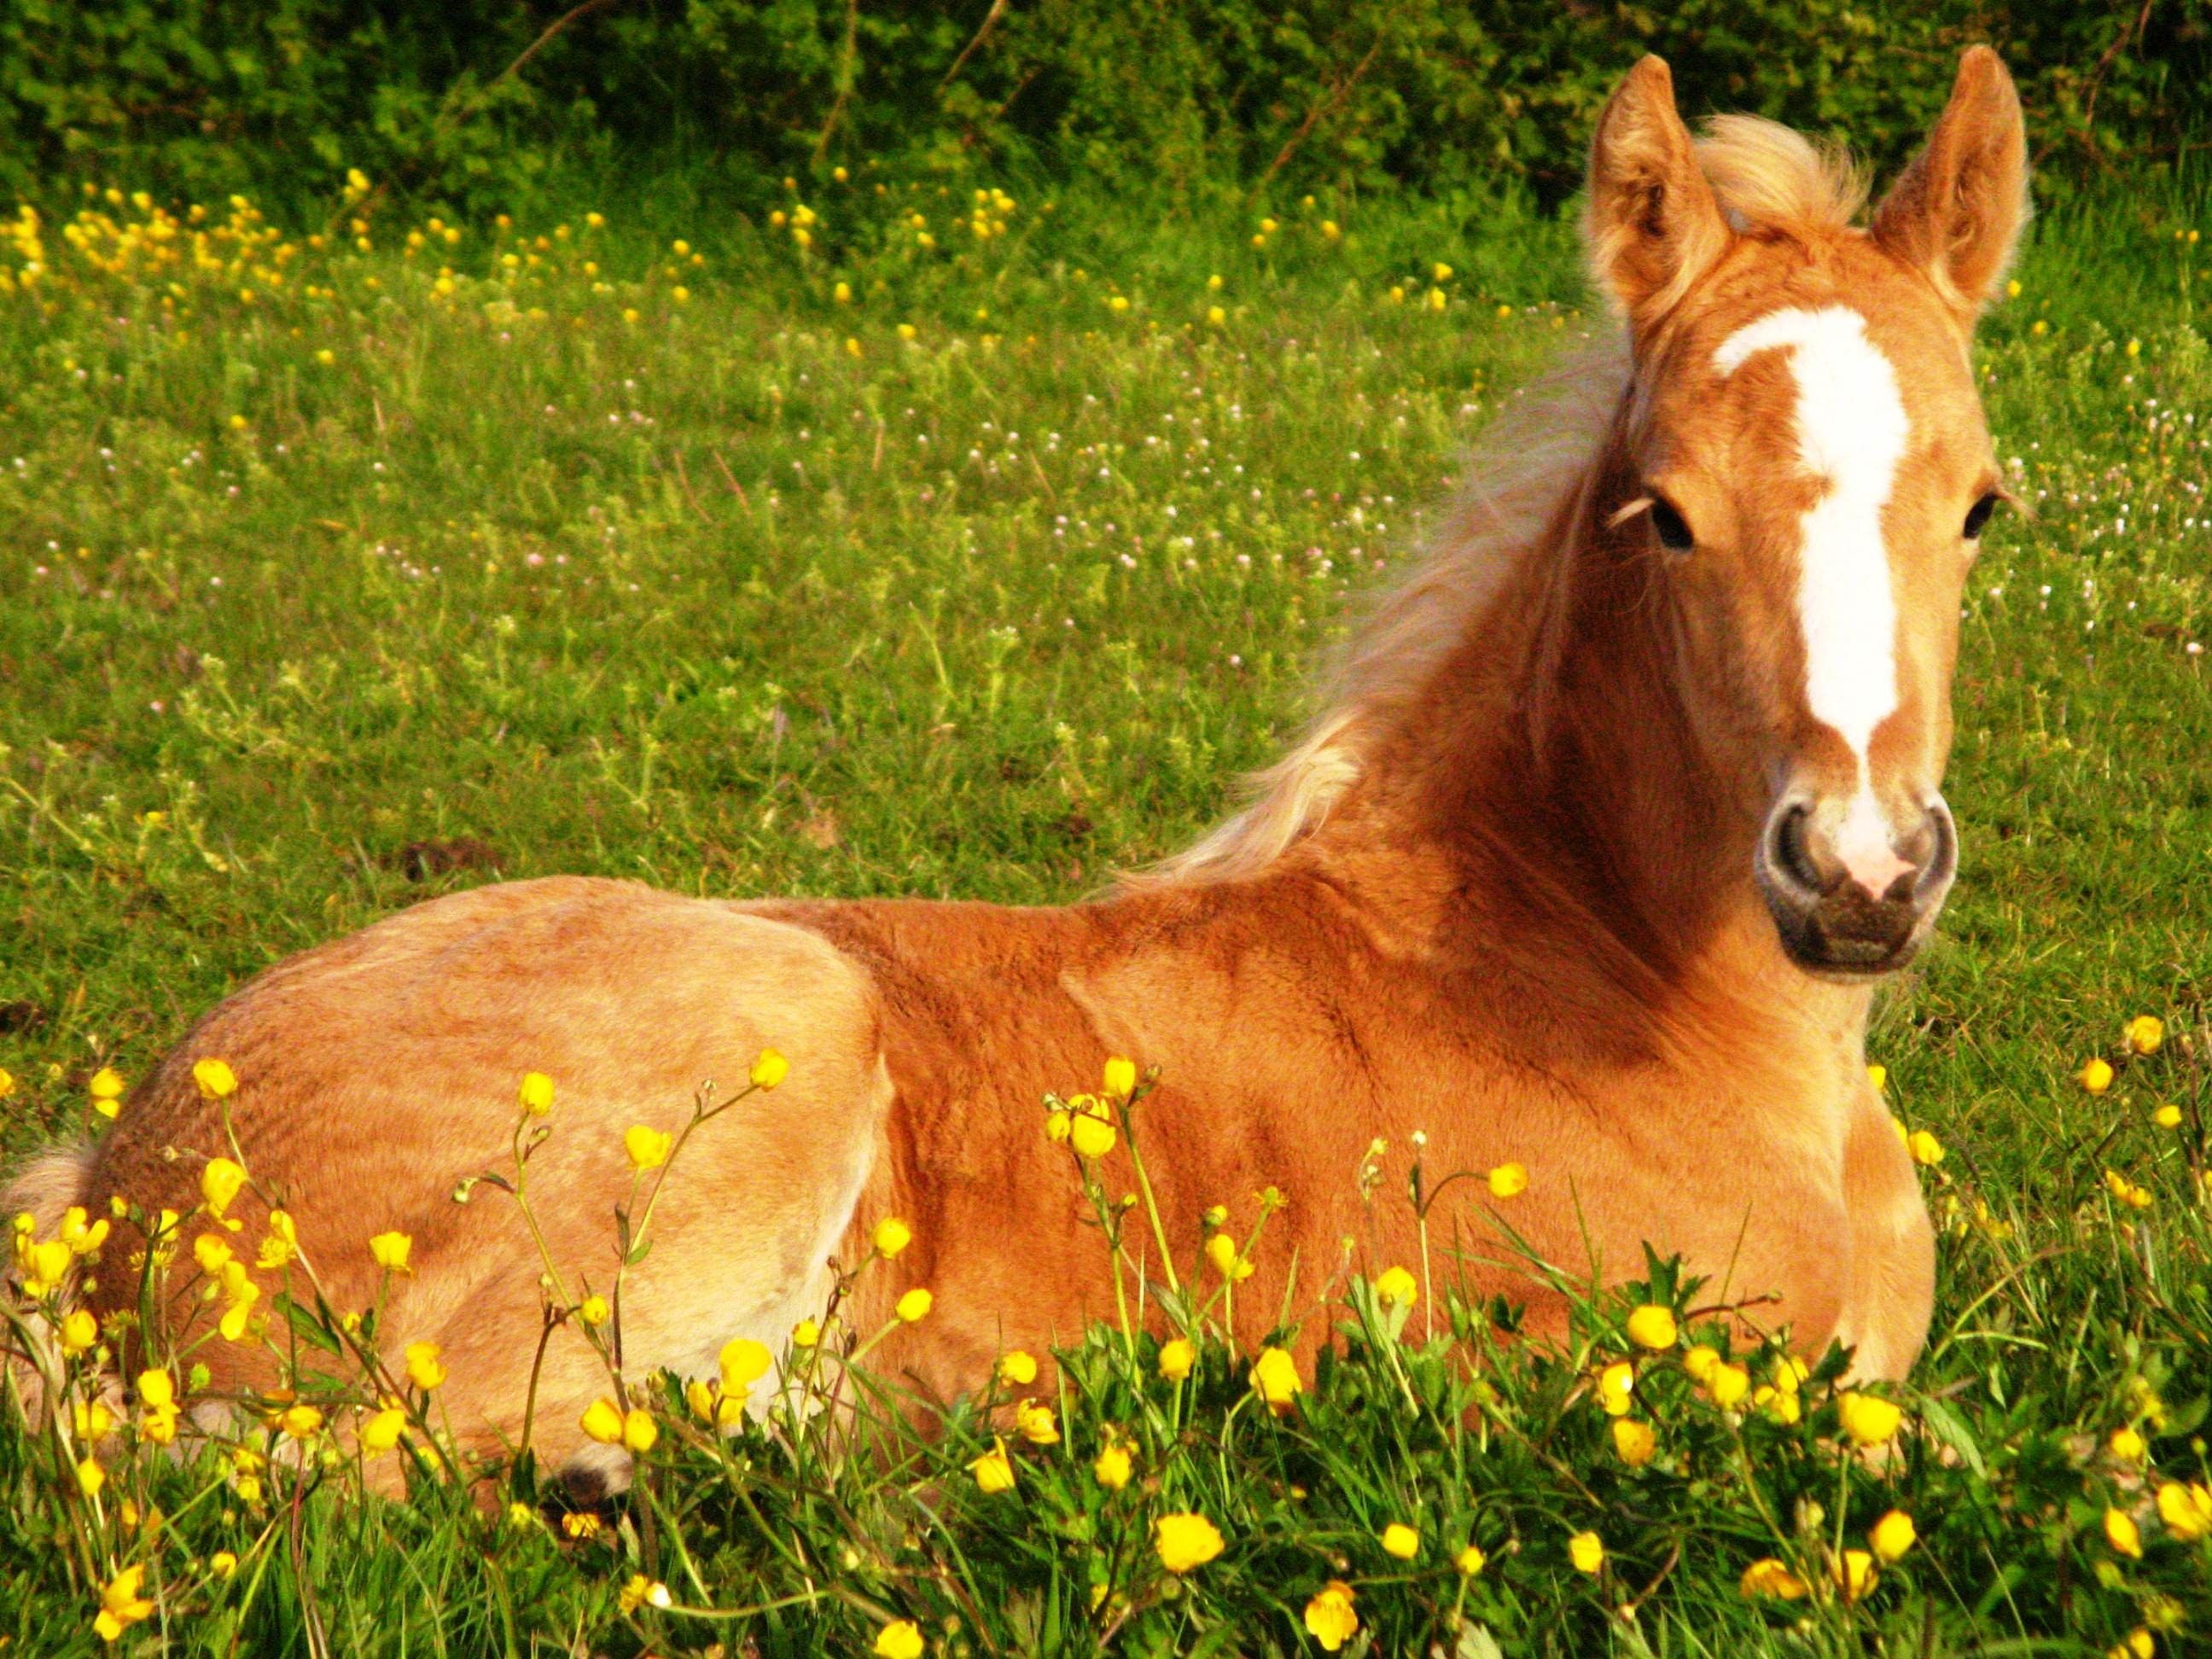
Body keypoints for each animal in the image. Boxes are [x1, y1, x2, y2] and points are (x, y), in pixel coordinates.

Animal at [9, 51, 2026, 1495]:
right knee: (355, 1442)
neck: (1604, 979)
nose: (1858, 875)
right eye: (1662, 515)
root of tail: (118, 1180)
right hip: (776, 1021)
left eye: (1983, 503)